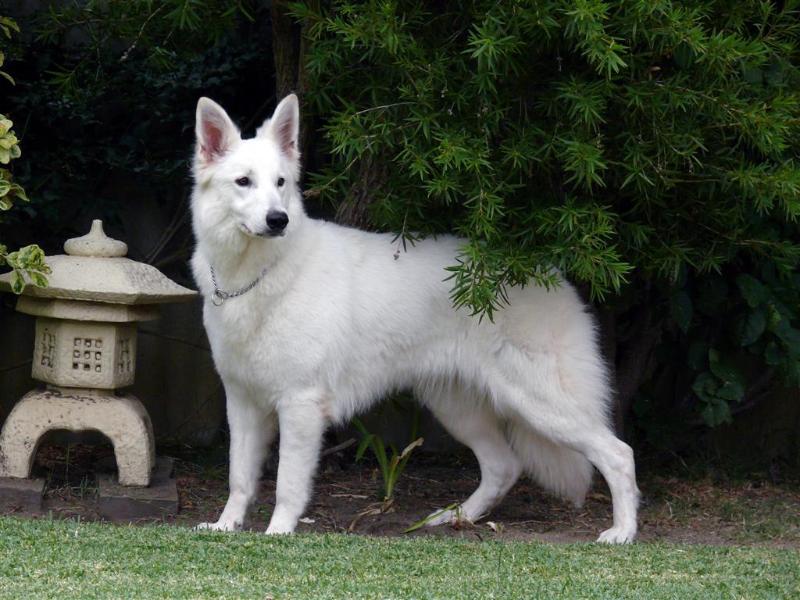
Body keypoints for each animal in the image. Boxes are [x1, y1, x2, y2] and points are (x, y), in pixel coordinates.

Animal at [189, 94, 636, 544]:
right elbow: (239, 478)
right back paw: (456, 517)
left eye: (280, 183)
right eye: (243, 182)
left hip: (540, 404)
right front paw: (226, 525)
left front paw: (278, 532)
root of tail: (552, 276)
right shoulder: (242, 404)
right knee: (504, 466)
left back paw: (622, 532)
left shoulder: (300, 405)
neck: (258, 274)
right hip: (458, 409)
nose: (278, 220)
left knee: (620, 453)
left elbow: (287, 484)